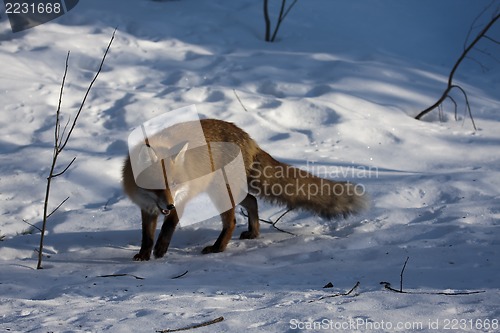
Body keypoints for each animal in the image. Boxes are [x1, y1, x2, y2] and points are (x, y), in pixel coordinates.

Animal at [124, 118, 368, 260]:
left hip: (221, 191)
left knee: (231, 221)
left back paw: (218, 248)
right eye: (156, 187)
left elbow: (168, 226)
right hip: (232, 190)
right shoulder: (147, 207)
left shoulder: (181, 198)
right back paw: (253, 232)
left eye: (174, 184)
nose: (169, 204)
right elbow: (146, 235)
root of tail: (249, 139)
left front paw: (161, 250)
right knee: (252, 200)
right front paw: (144, 254)